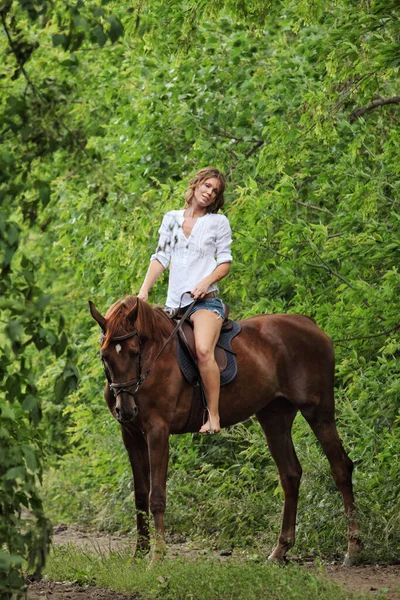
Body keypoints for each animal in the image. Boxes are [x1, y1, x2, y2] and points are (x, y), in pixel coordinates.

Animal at [89, 298, 360, 564]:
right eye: (105, 356)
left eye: (135, 352)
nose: (126, 409)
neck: (153, 358)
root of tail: (310, 325)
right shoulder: (131, 435)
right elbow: (140, 495)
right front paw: (139, 555)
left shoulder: (158, 431)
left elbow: (156, 496)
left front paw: (157, 558)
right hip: (274, 417)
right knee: (290, 474)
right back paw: (280, 550)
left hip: (318, 412)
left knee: (340, 468)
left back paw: (353, 549)